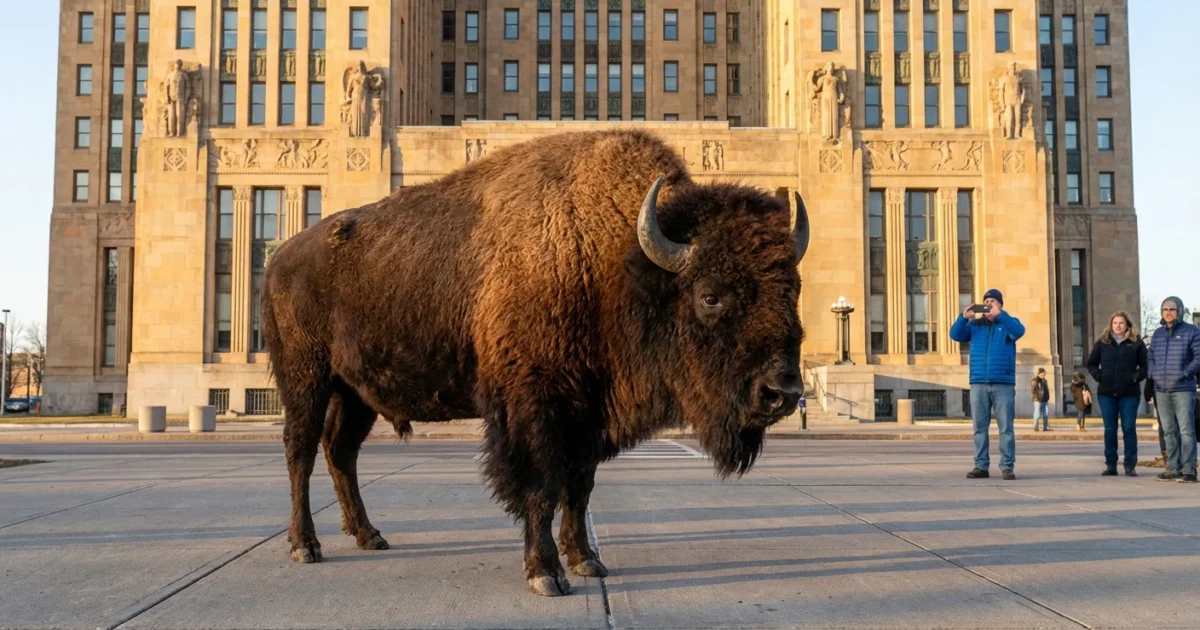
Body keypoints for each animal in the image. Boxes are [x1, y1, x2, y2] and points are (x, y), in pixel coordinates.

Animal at [262, 129, 809, 597]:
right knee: (301, 451)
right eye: (710, 295)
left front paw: (586, 560)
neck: (617, 261)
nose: (783, 394)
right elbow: (542, 486)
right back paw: (305, 546)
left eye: (792, 289)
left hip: (355, 392)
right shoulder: (533, 407)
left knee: (341, 452)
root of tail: (279, 257)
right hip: (305, 378)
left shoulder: (588, 415)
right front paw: (546, 573)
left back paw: (369, 535)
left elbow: (580, 487)